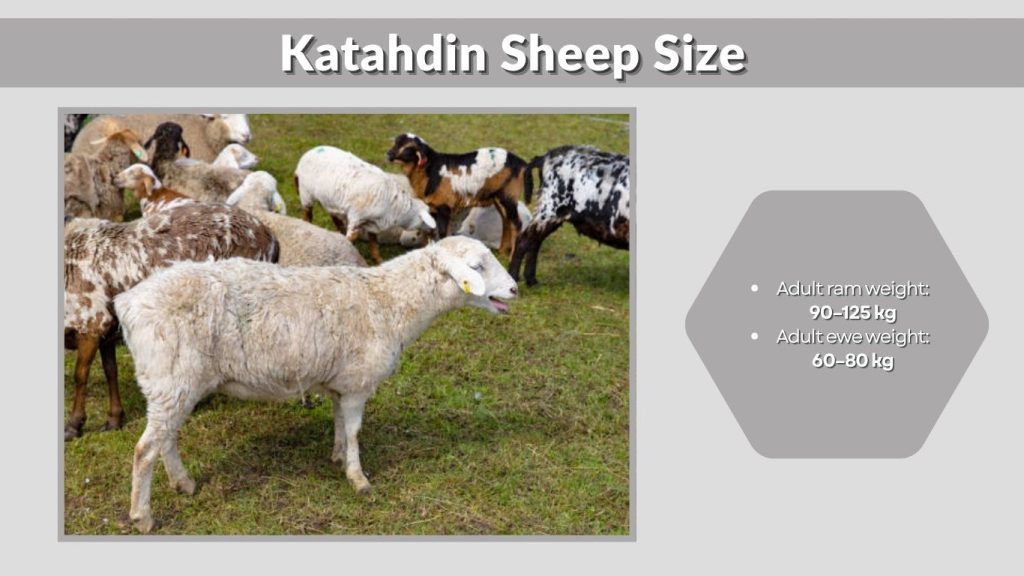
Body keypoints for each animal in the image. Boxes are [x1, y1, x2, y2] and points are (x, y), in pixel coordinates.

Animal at [63, 204, 279, 441]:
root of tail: (269, 235)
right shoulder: (106, 329)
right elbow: (111, 371)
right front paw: (114, 419)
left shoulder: (90, 322)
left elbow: (80, 375)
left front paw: (73, 425)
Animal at [114, 236, 517, 532]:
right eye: (477, 267)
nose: (514, 289)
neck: (390, 302)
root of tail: (128, 302)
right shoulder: (357, 383)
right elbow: (355, 431)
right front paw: (358, 478)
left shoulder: (340, 381)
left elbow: (339, 424)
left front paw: (337, 455)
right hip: (171, 378)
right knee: (145, 449)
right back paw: (143, 516)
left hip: (172, 385)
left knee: (164, 439)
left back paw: (183, 483)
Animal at [295, 145, 436, 264]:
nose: (433, 231)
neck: (396, 209)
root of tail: (308, 153)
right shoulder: (356, 217)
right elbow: (351, 238)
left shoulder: (373, 224)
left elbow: (373, 243)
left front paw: (378, 259)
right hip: (306, 194)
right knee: (307, 216)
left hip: (329, 199)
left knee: (334, 216)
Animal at [386, 133, 533, 256]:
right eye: (396, 143)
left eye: (408, 148)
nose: (388, 154)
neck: (431, 170)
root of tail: (522, 164)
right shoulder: (432, 207)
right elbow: (431, 232)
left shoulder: (444, 206)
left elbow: (442, 233)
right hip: (499, 198)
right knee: (506, 221)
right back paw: (502, 253)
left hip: (508, 196)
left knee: (516, 225)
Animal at [507, 146, 630, 286]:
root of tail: (546, 157)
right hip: (549, 208)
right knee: (523, 240)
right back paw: (514, 279)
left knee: (535, 242)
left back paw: (532, 281)